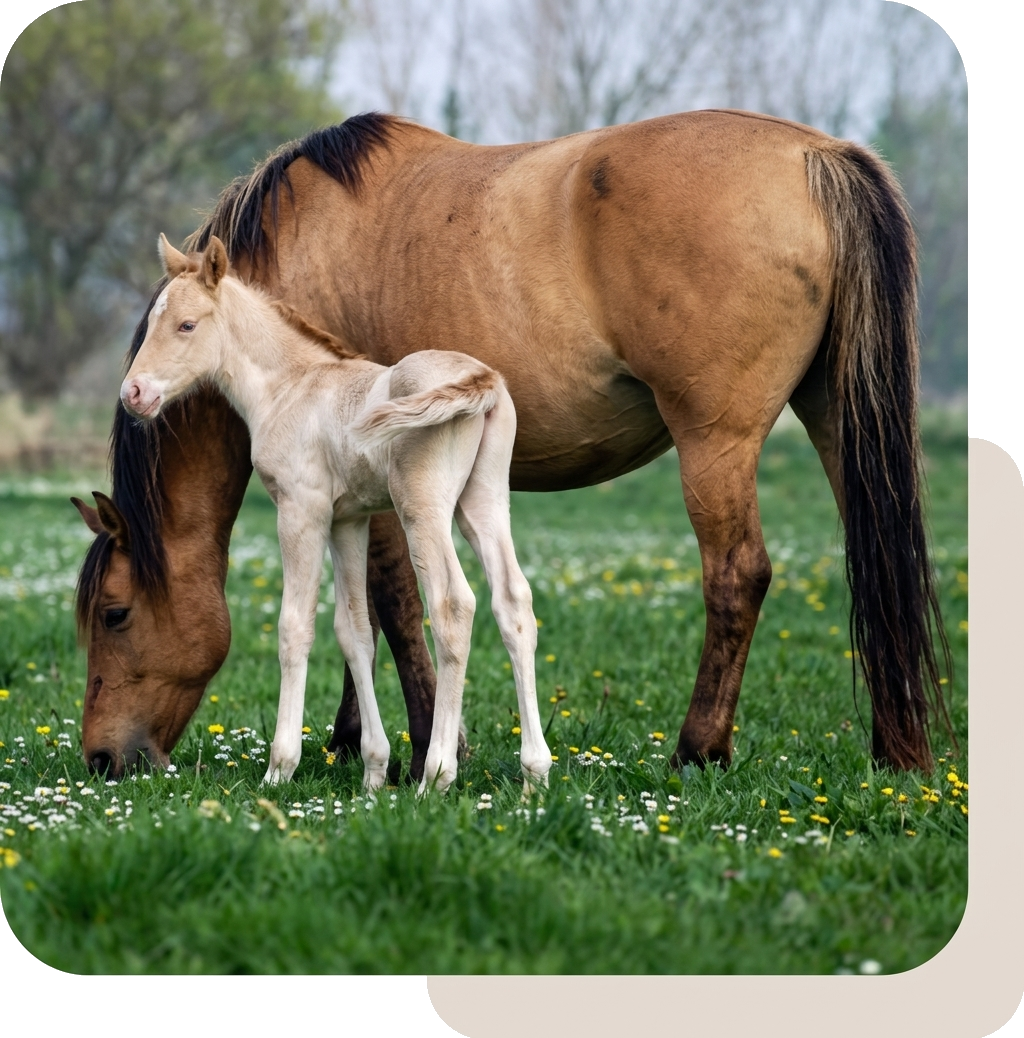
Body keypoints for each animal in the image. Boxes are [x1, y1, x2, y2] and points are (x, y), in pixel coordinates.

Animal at [111, 231, 550, 794]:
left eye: (187, 325)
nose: (134, 393)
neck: (290, 386)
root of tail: (482, 379)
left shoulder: (302, 510)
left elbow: (295, 627)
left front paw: (280, 769)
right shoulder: (348, 520)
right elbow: (354, 631)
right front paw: (373, 771)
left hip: (422, 506)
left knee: (453, 607)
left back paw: (436, 775)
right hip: (484, 501)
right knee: (513, 602)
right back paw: (534, 773)